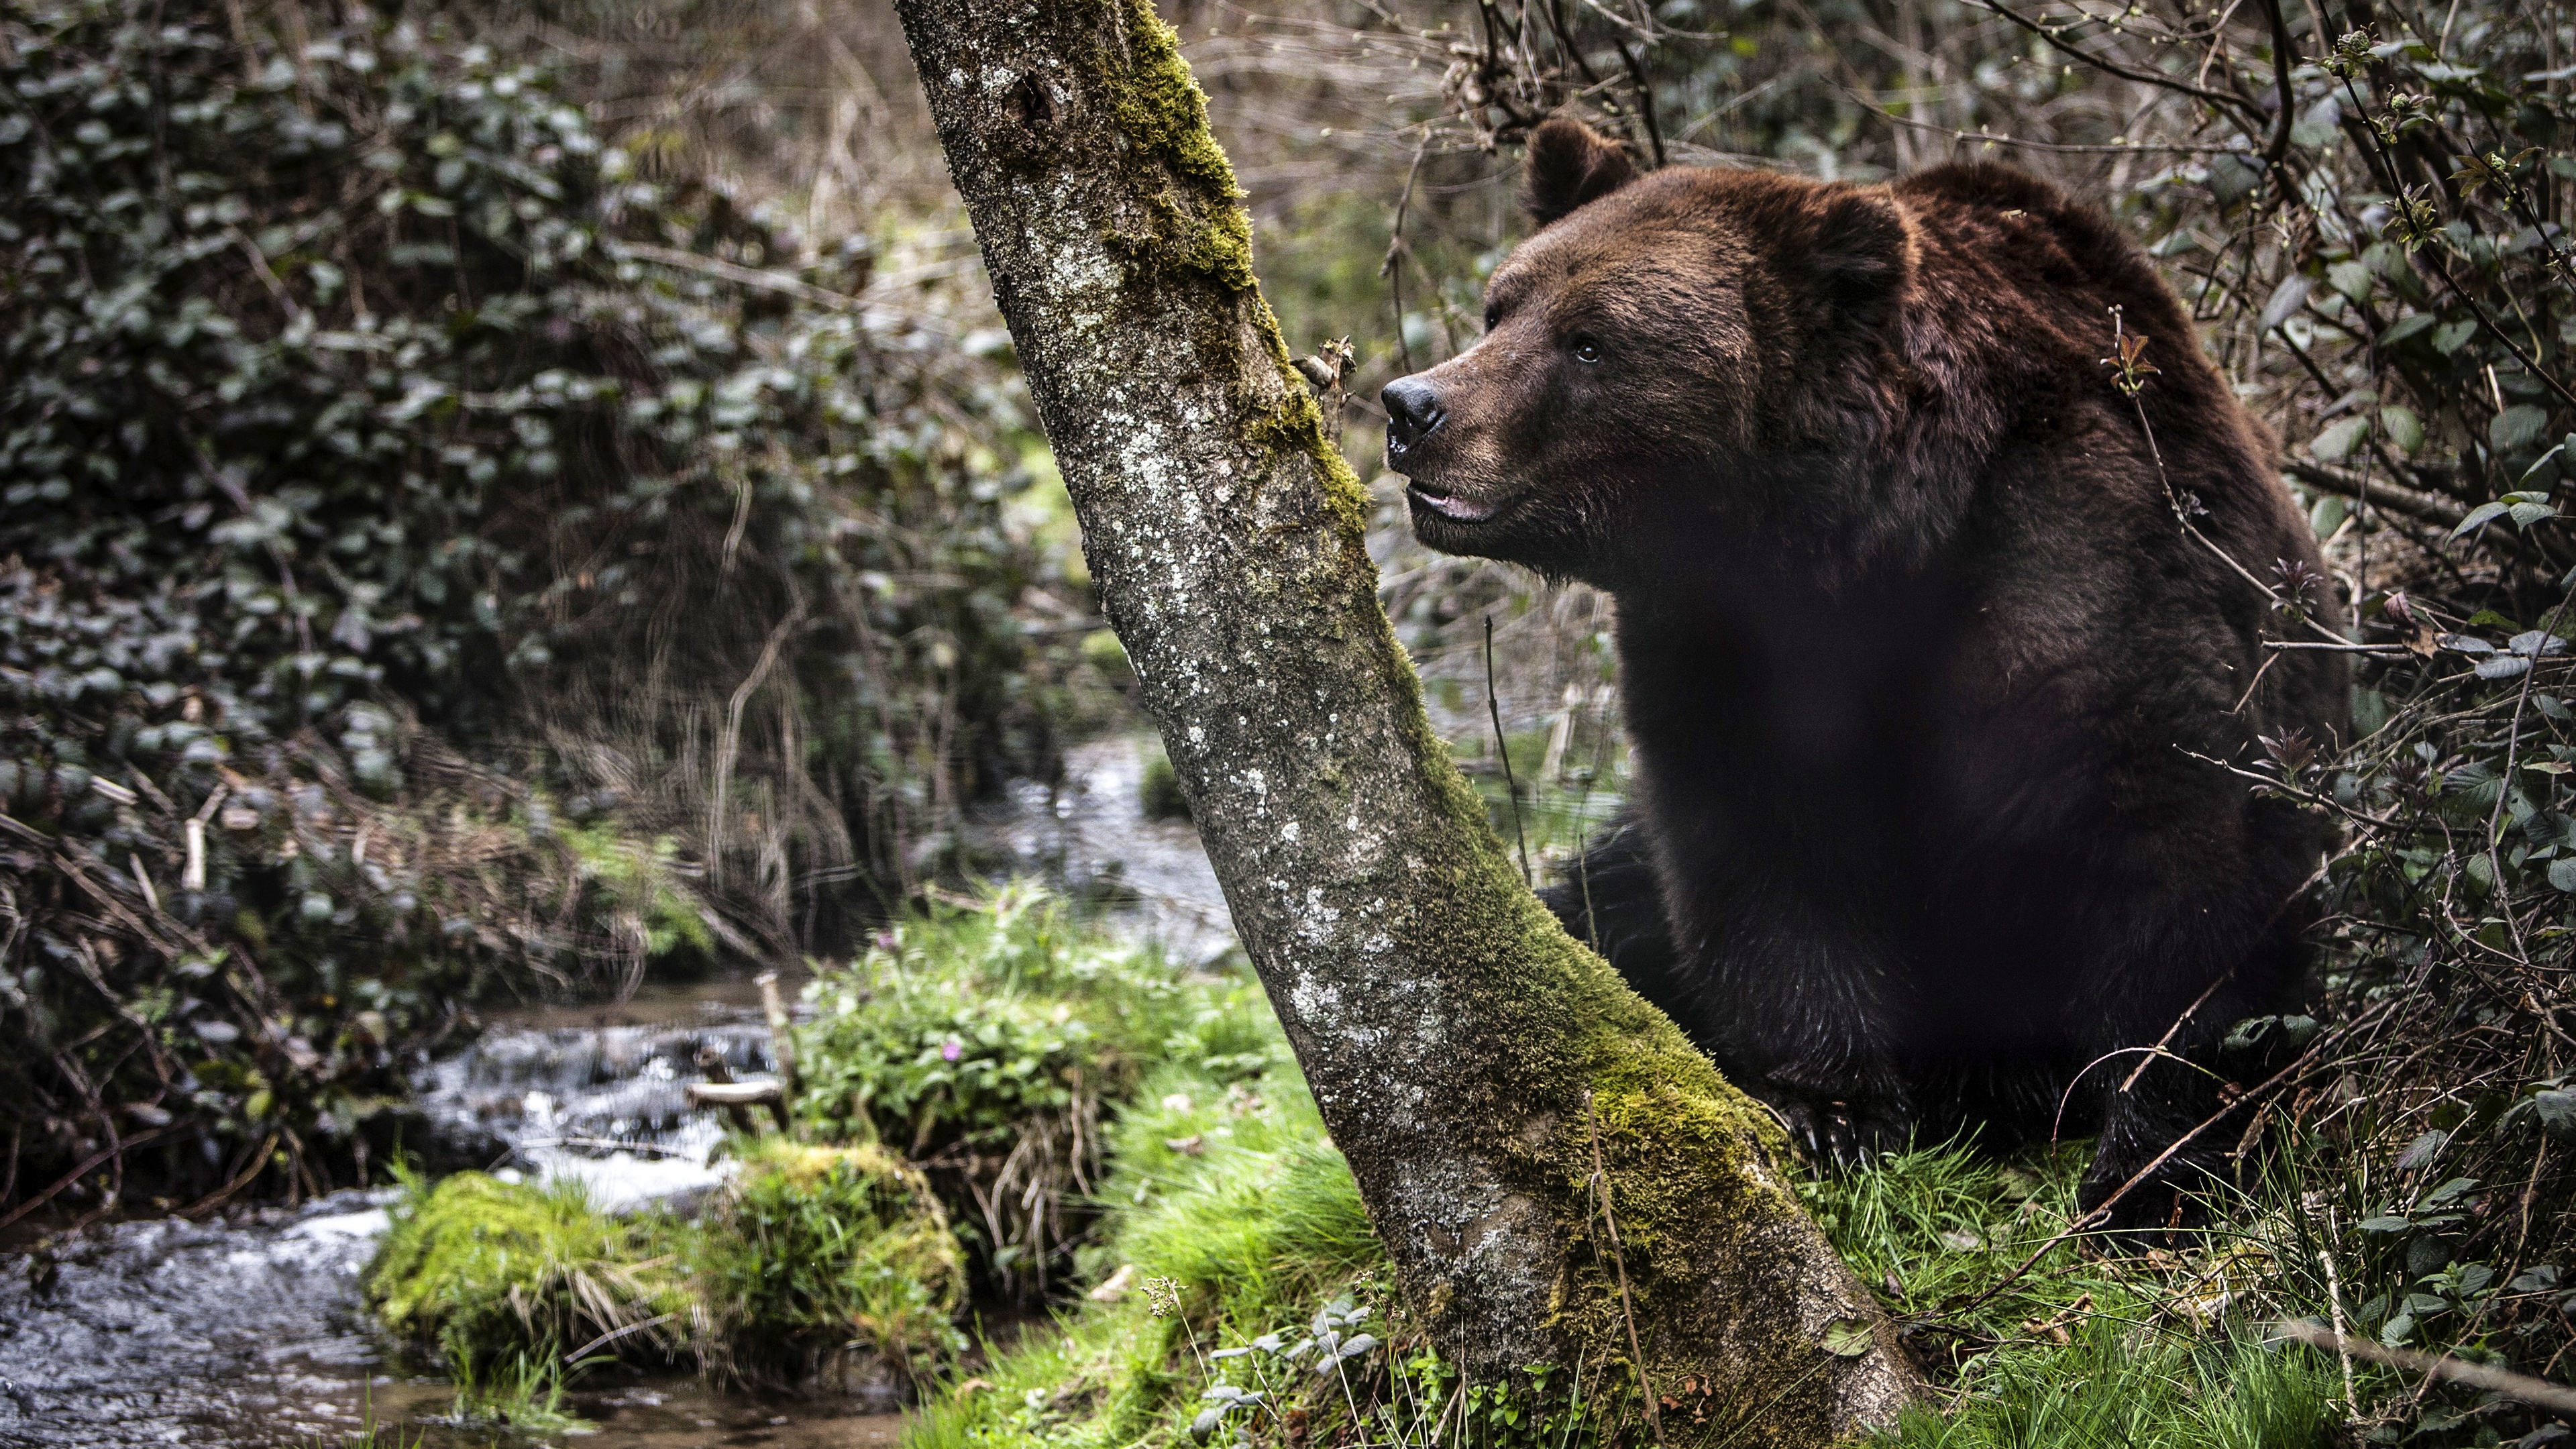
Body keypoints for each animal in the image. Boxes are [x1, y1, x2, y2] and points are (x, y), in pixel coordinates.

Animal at [1391, 118, 2359, 1222]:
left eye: (1590, 340)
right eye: (1501, 305)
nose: (1413, 406)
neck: (1870, 538)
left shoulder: (2086, 562)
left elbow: (2176, 845)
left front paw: (2150, 1169)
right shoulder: (1730, 642)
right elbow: (1764, 845)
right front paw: (1830, 1111)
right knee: (1600, 902)